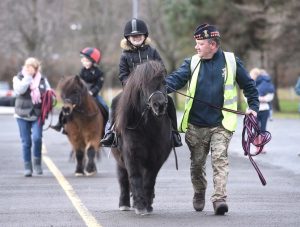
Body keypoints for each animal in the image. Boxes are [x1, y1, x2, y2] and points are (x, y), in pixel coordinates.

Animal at [111, 60, 172, 215]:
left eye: (163, 82)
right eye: (143, 85)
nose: (159, 105)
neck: (149, 128)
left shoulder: (157, 158)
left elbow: (149, 180)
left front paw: (147, 204)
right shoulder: (131, 155)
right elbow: (135, 178)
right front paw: (139, 205)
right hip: (120, 161)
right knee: (123, 180)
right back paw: (125, 204)